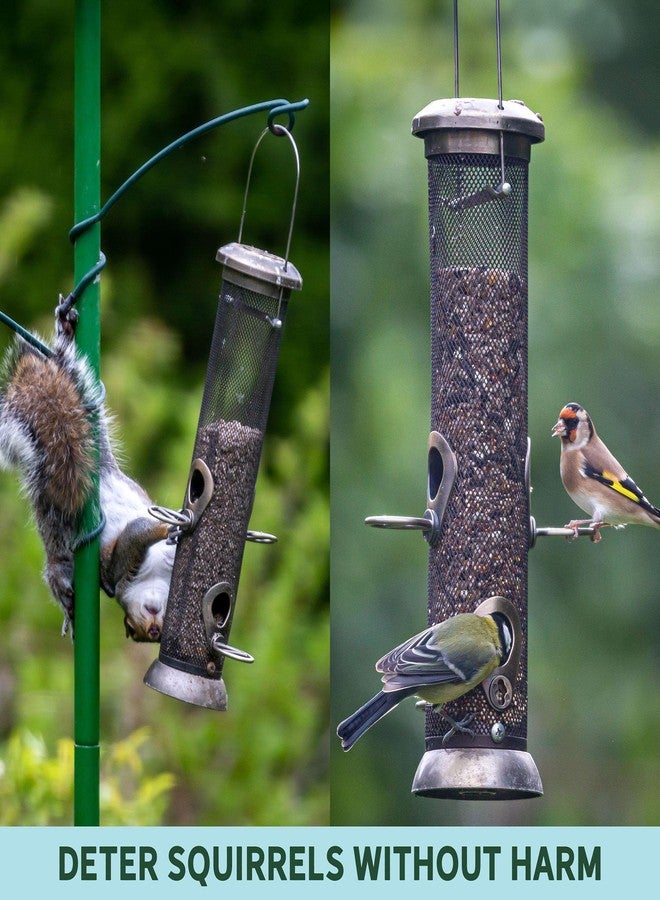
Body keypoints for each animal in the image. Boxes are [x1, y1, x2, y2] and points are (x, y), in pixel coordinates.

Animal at [0, 309, 174, 641]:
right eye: (135, 631)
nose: (154, 631)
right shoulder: (120, 569)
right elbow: (137, 532)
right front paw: (165, 528)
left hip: (96, 439)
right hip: (61, 549)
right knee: (60, 577)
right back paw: (68, 605)